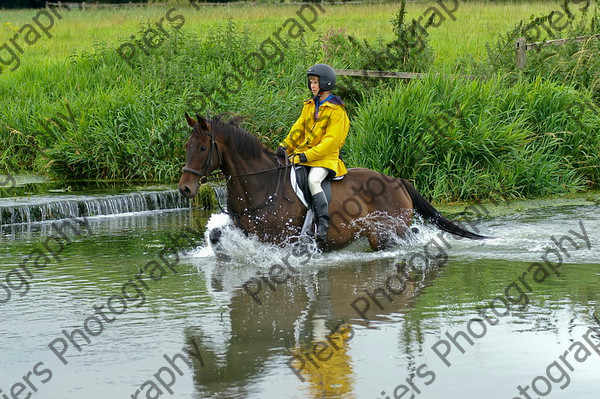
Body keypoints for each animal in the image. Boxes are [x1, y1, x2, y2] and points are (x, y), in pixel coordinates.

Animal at [178, 114, 488, 252]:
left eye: (203, 148)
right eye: (186, 146)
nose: (185, 188)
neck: (261, 184)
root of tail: (397, 180)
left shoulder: (280, 240)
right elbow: (216, 235)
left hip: (385, 231)